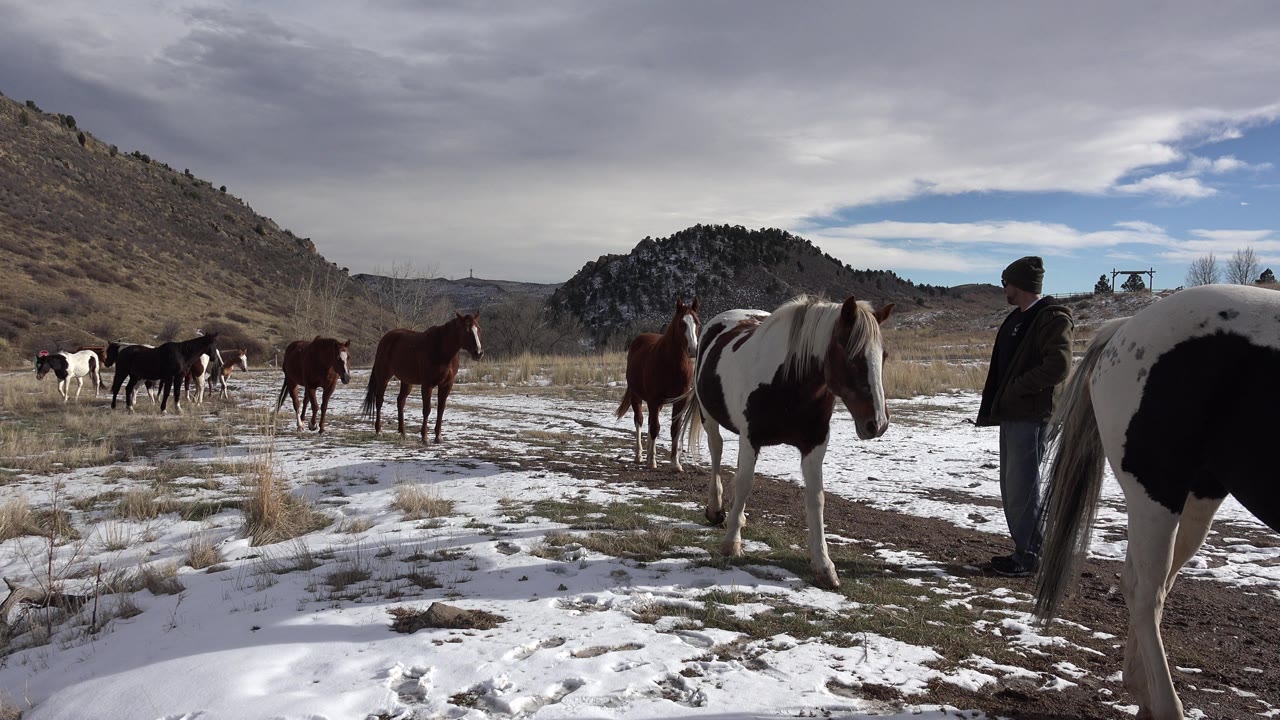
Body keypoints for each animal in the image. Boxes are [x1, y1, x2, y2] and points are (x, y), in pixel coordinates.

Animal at [361, 312, 483, 443]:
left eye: (478, 329)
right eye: (466, 330)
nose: (478, 353)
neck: (441, 349)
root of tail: (385, 339)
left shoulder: (447, 384)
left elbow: (441, 408)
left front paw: (438, 436)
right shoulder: (427, 385)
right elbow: (427, 409)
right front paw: (425, 437)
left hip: (406, 381)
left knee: (401, 401)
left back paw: (403, 433)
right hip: (383, 377)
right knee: (379, 400)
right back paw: (379, 431)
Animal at [614, 297, 700, 470]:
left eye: (697, 323)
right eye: (681, 324)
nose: (693, 349)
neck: (671, 364)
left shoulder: (680, 402)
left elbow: (675, 429)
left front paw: (675, 463)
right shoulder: (654, 400)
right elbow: (654, 428)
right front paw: (652, 461)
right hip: (637, 397)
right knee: (640, 421)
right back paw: (640, 455)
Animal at [686, 295, 894, 588]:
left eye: (883, 356)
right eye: (853, 356)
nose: (877, 423)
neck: (788, 382)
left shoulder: (814, 444)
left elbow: (816, 498)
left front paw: (823, 564)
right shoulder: (751, 438)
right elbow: (744, 484)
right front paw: (731, 543)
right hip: (709, 416)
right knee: (716, 452)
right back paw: (717, 511)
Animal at [1036, 284, 1280, 720]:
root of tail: (1123, 328)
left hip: (1197, 495)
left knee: (1152, 583)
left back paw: (1143, 690)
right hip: (1155, 491)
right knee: (1145, 589)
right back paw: (1165, 703)